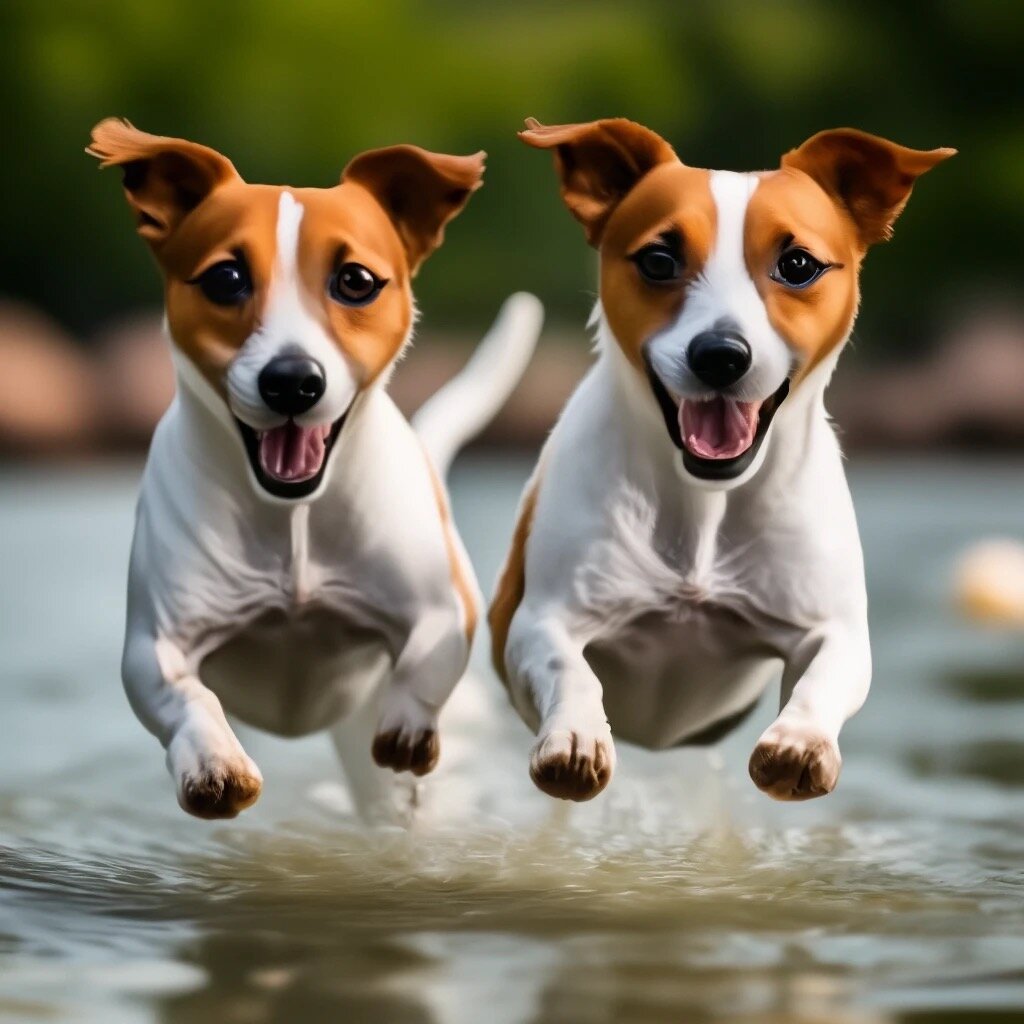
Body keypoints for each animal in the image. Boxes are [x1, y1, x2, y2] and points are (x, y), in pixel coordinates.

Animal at [88, 117, 544, 823]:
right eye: (226, 279)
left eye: (355, 280)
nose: (292, 380)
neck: (294, 518)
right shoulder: (155, 644)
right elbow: (183, 696)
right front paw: (214, 764)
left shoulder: (443, 611)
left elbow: (425, 663)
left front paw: (408, 729)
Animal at [487, 119, 950, 802]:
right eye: (659, 260)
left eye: (798, 264)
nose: (721, 354)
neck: (705, 503)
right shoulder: (541, 618)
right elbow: (567, 666)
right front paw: (575, 737)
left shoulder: (831, 625)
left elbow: (828, 672)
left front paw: (799, 743)